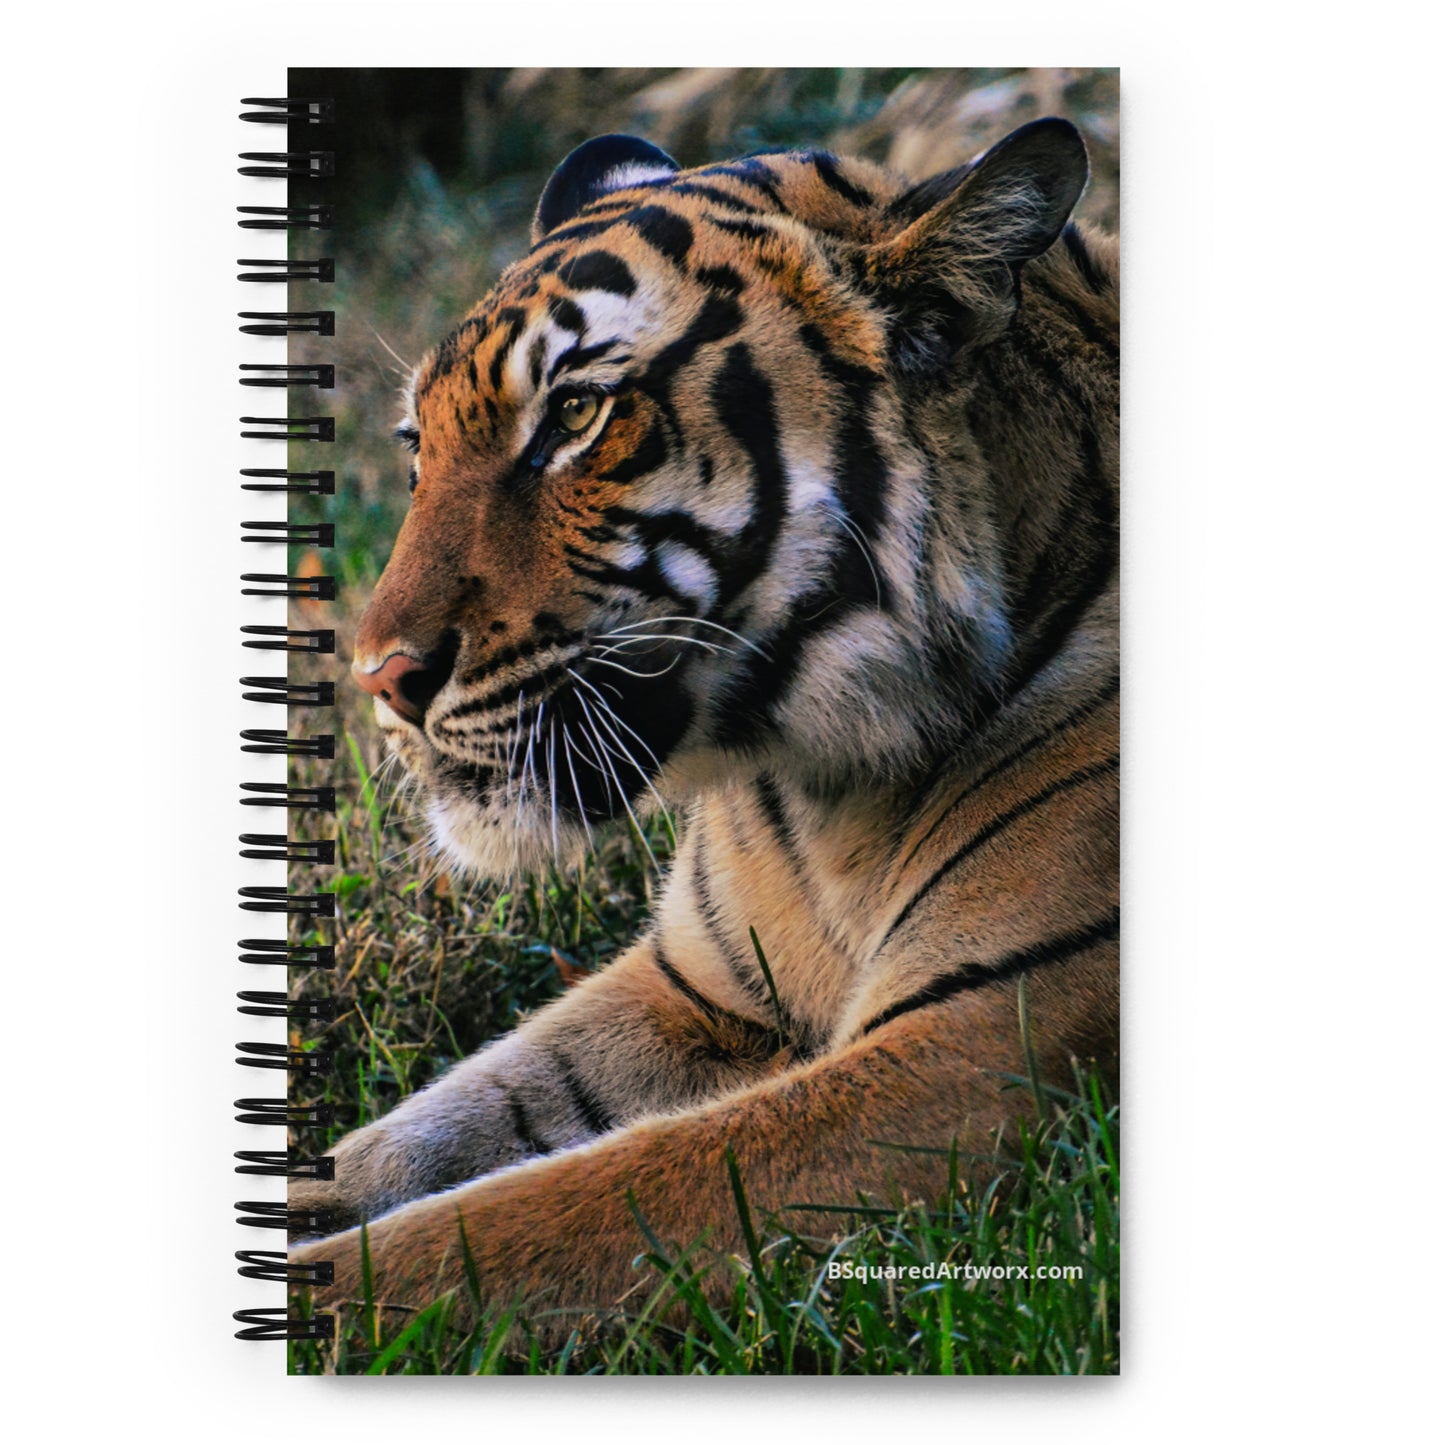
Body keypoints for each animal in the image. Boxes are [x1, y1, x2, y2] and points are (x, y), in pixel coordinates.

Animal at [290, 117, 1120, 1334]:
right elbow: (412, 1138)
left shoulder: (973, 1045)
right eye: (415, 448)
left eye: (575, 416)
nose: (380, 676)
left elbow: (530, 1216)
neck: (825, 790)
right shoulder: (691, 992)